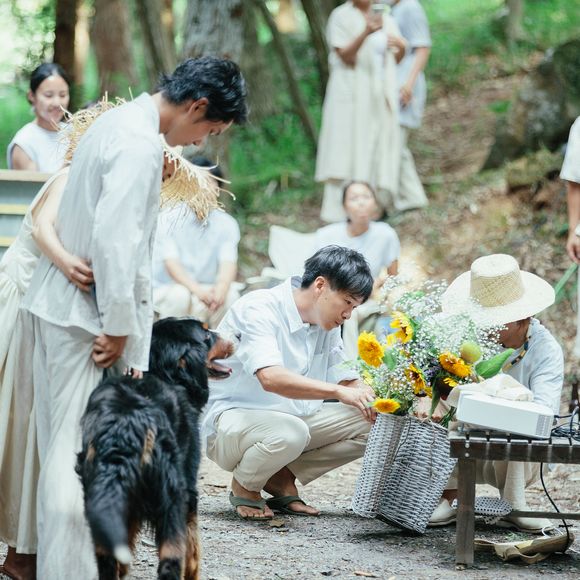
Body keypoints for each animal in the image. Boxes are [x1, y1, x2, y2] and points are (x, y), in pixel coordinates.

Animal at [76, 317, 234, 580]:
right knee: (171, 560)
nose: (238, 335)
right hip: (171, 498)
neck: (161, 372)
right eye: (206, 334)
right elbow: (192, 546)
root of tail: (126, 422)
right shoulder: (188, 488)